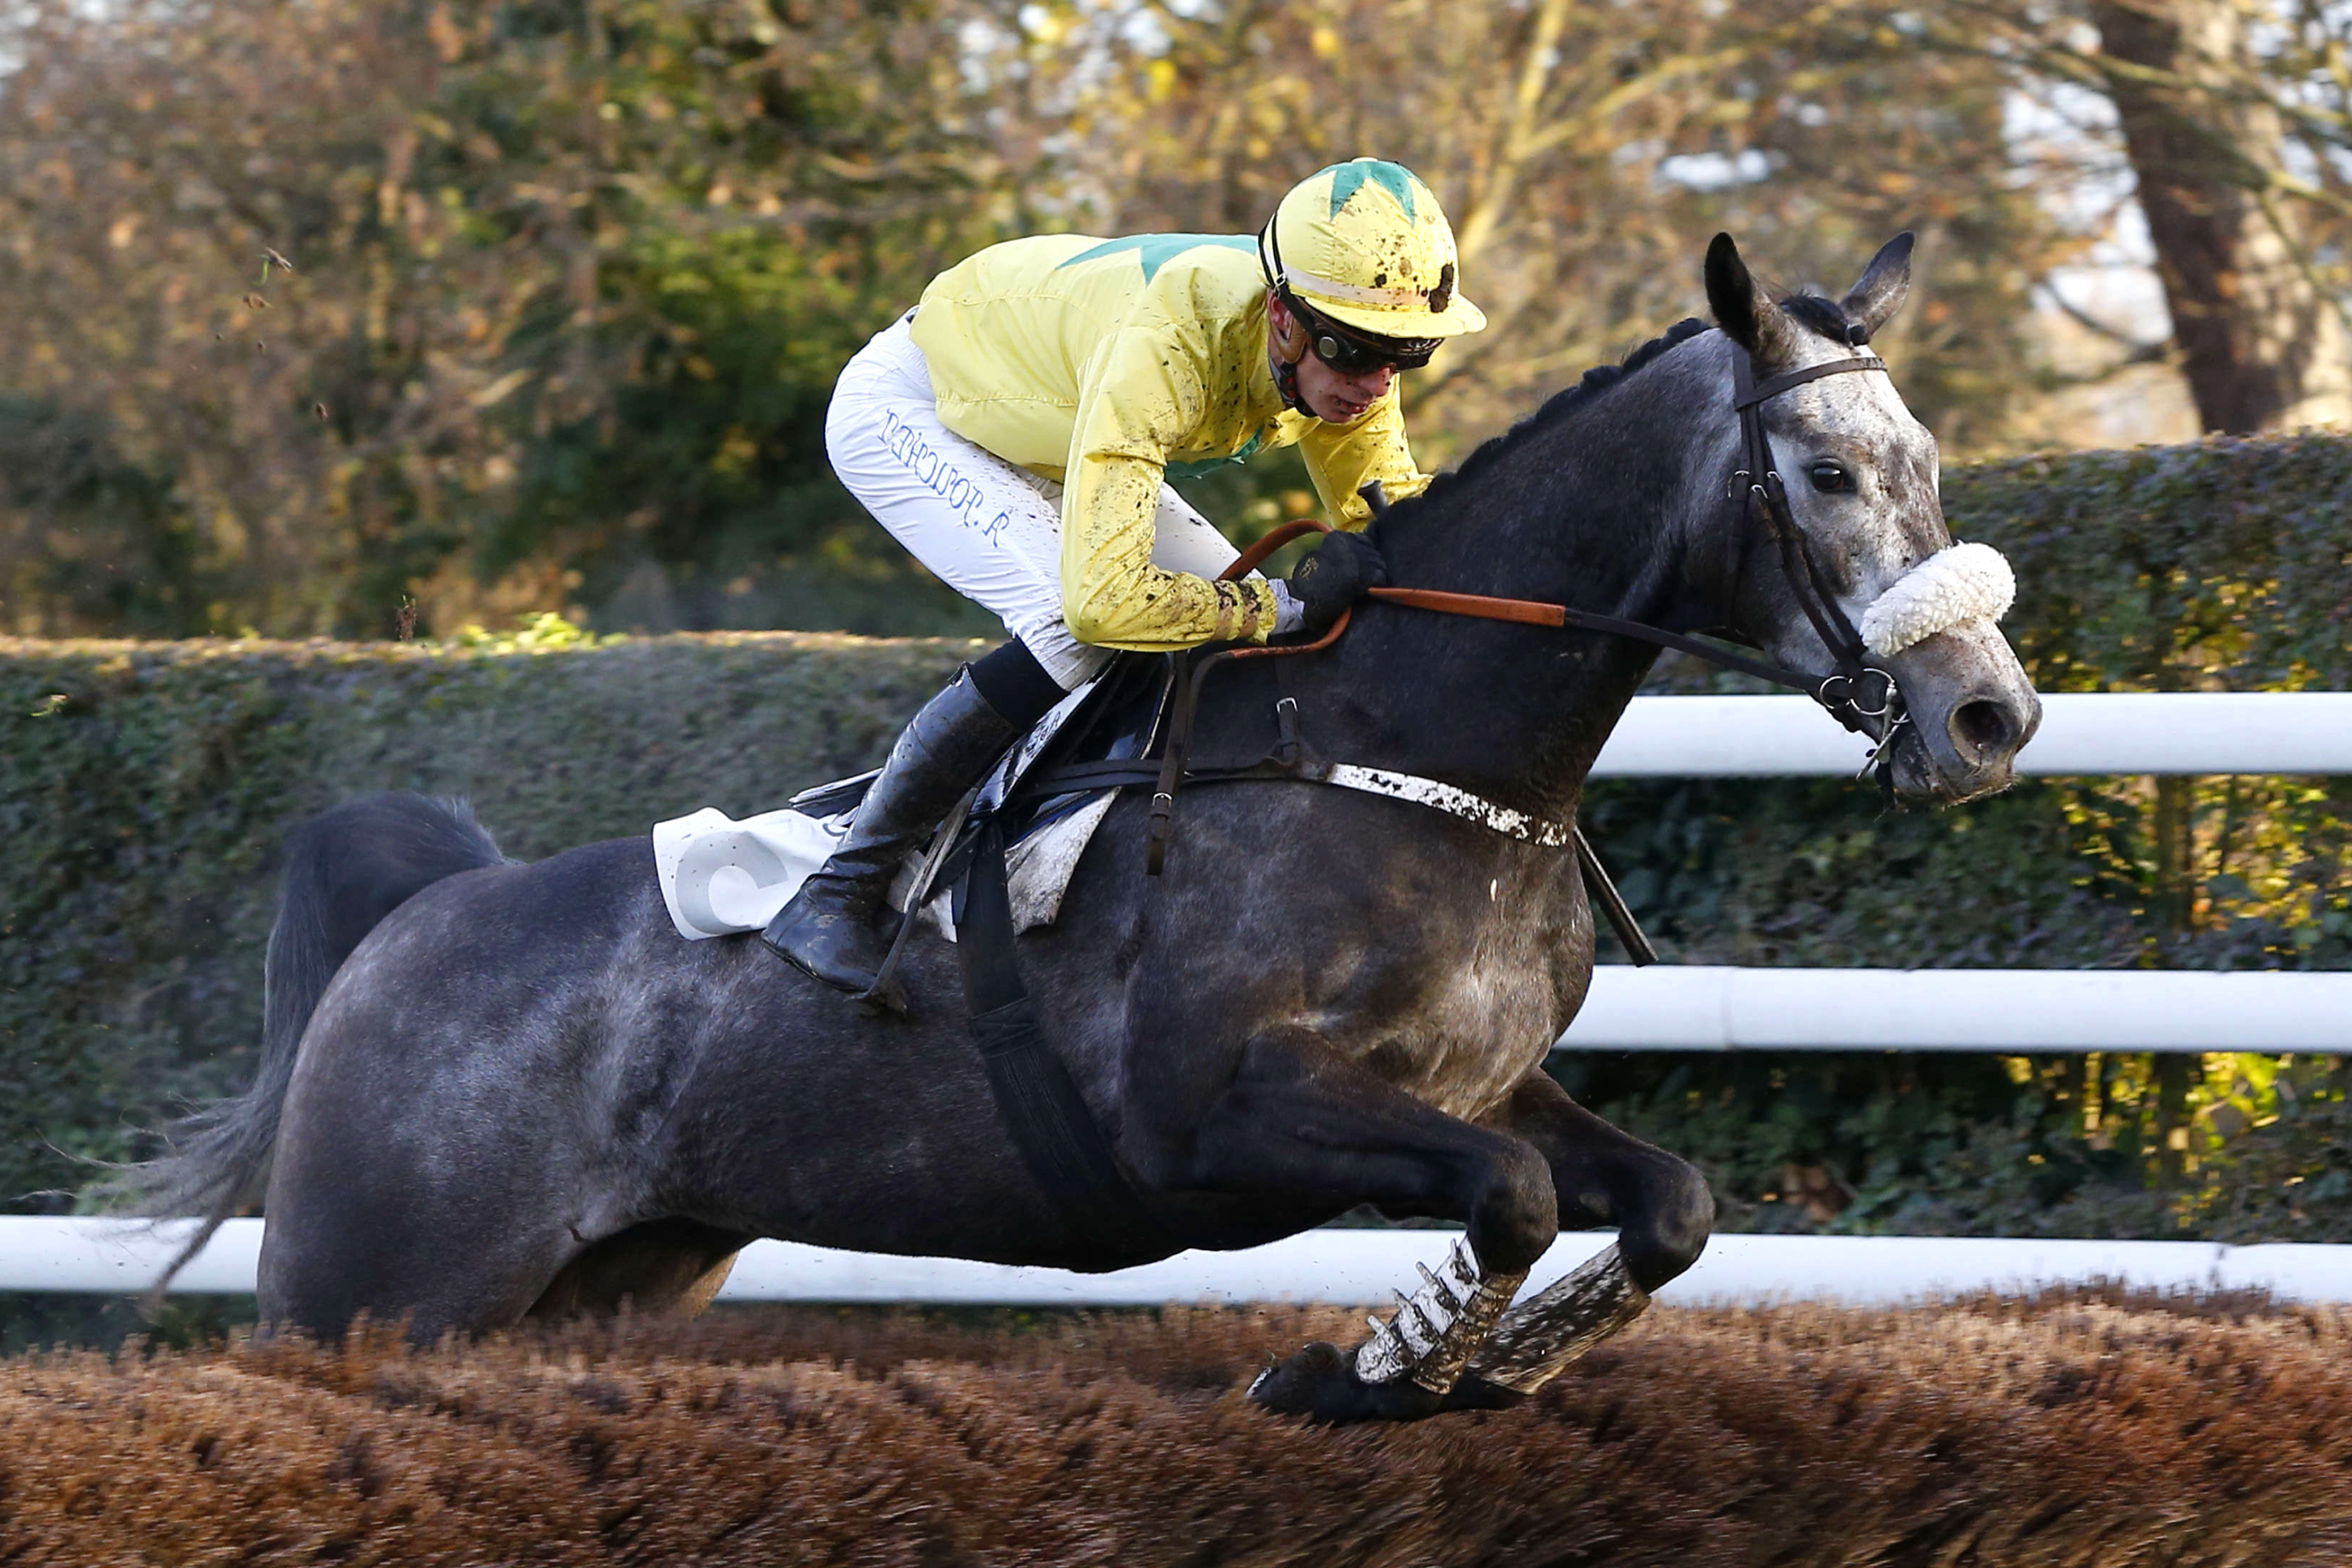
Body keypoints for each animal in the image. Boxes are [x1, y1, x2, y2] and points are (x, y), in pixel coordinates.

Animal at [123, 232, 2041, 1419]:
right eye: (1821, 474)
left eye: (1931, 460)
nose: (1987, 715)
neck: (1409, 752)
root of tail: (411, 923)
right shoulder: (1215, 1112)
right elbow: (1503, 1202)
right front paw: (1355, 1376)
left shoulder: (1474, 1082)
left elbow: (1662, 1204)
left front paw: (1482, 1367)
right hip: (367, 1290)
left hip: (605, 1284)